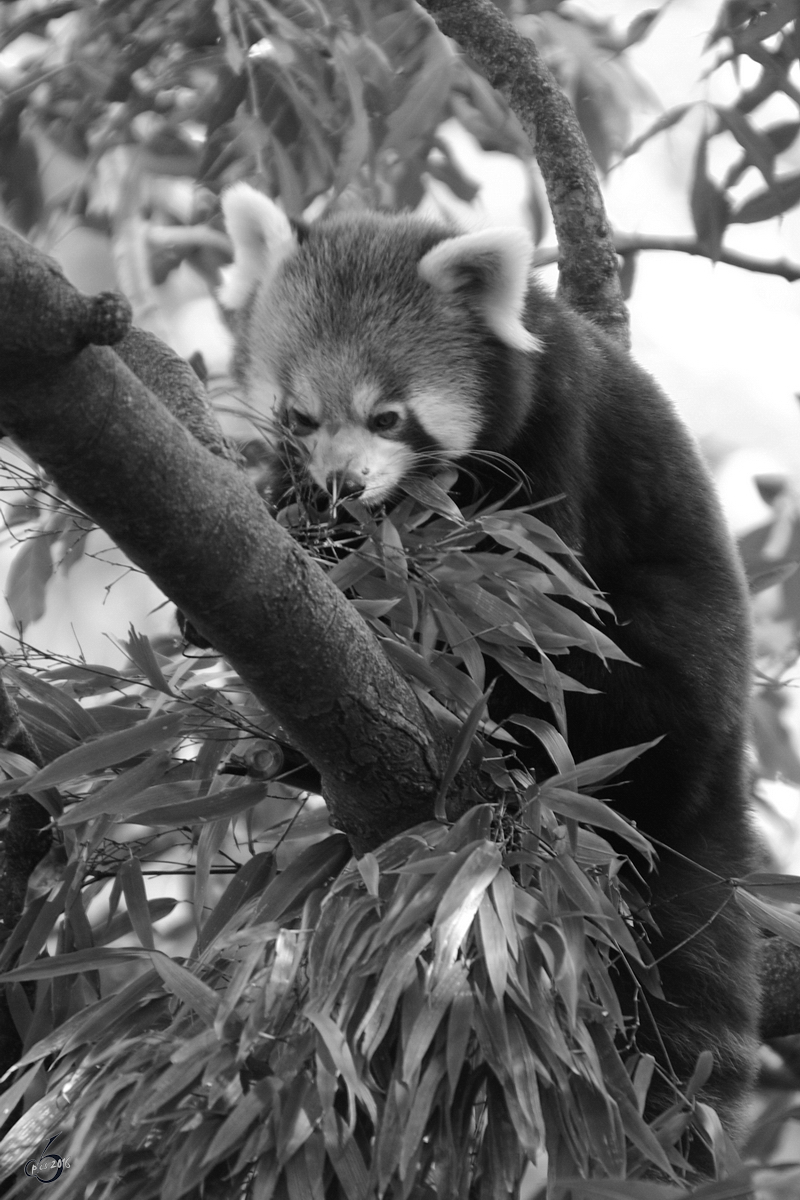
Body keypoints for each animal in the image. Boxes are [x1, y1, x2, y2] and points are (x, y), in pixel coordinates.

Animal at [221, 182, 762, 1137]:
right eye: (301, 416)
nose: (342, 487)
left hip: (672, 678)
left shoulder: (555, 440)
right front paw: (301, 527)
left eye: (388, 416)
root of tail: (722, 768)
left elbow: (520, 608)